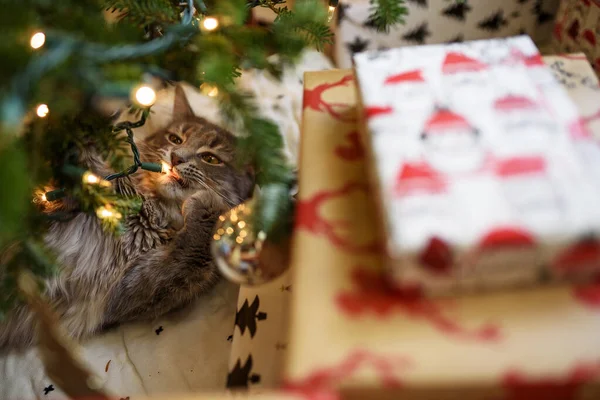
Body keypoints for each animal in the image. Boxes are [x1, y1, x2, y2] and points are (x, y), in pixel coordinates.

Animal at [0, 86, 253, 352]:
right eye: (175, 139)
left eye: (211, 159)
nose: (176, 158)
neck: (154, 209)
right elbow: (77, 154)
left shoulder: (129, 289)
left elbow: (190, 250)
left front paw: (214, 208)